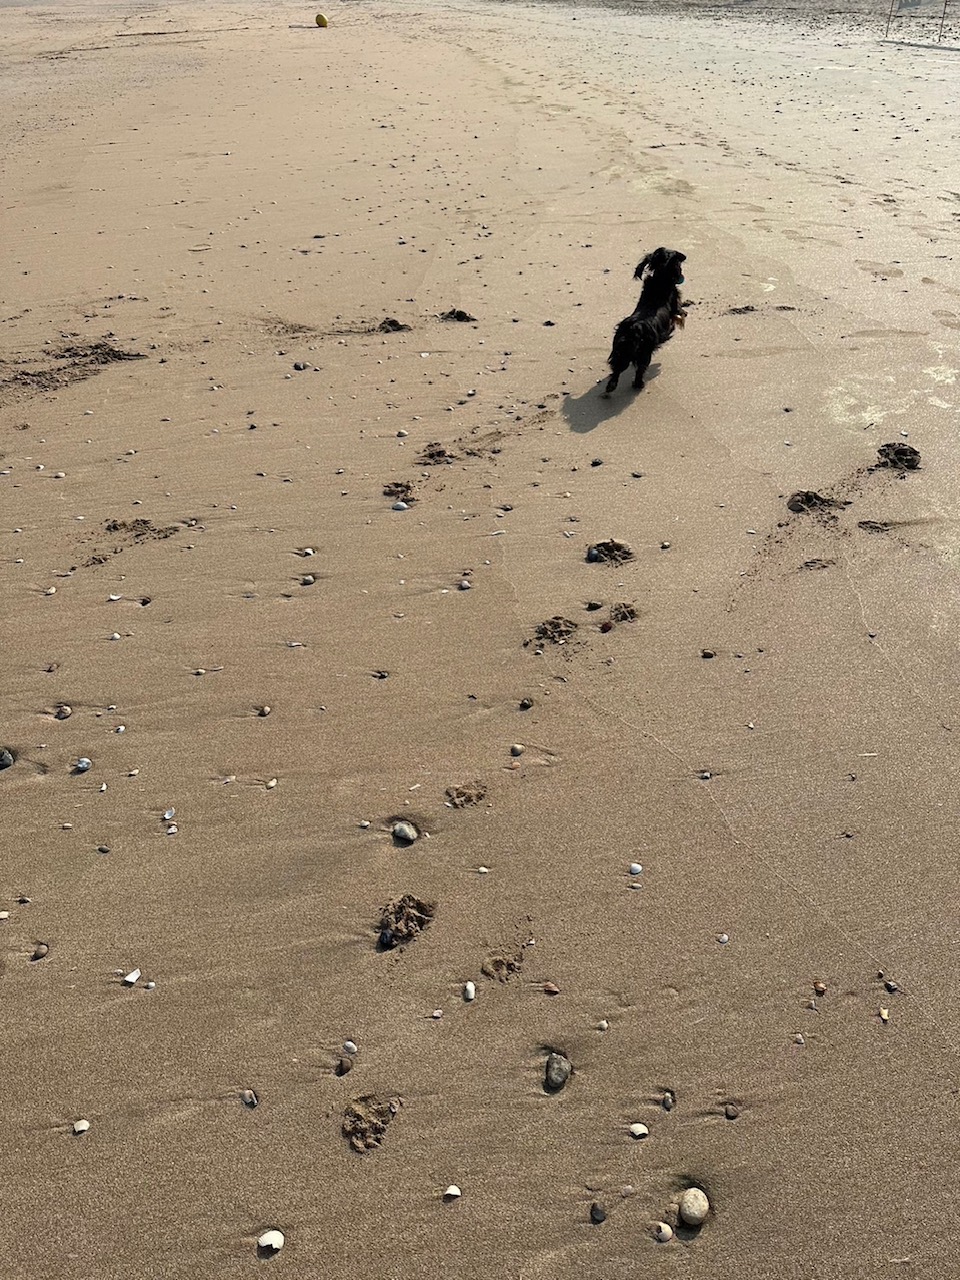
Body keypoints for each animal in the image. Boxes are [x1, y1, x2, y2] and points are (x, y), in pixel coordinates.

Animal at [604, 245, 686, 394]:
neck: (661, 280)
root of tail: (633, 328)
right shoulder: (675, 306)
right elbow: (679, 312)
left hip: (622, 351)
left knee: (617, 369)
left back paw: (611, 387)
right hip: (645, 353)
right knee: (640, 369)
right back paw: (638, 384)